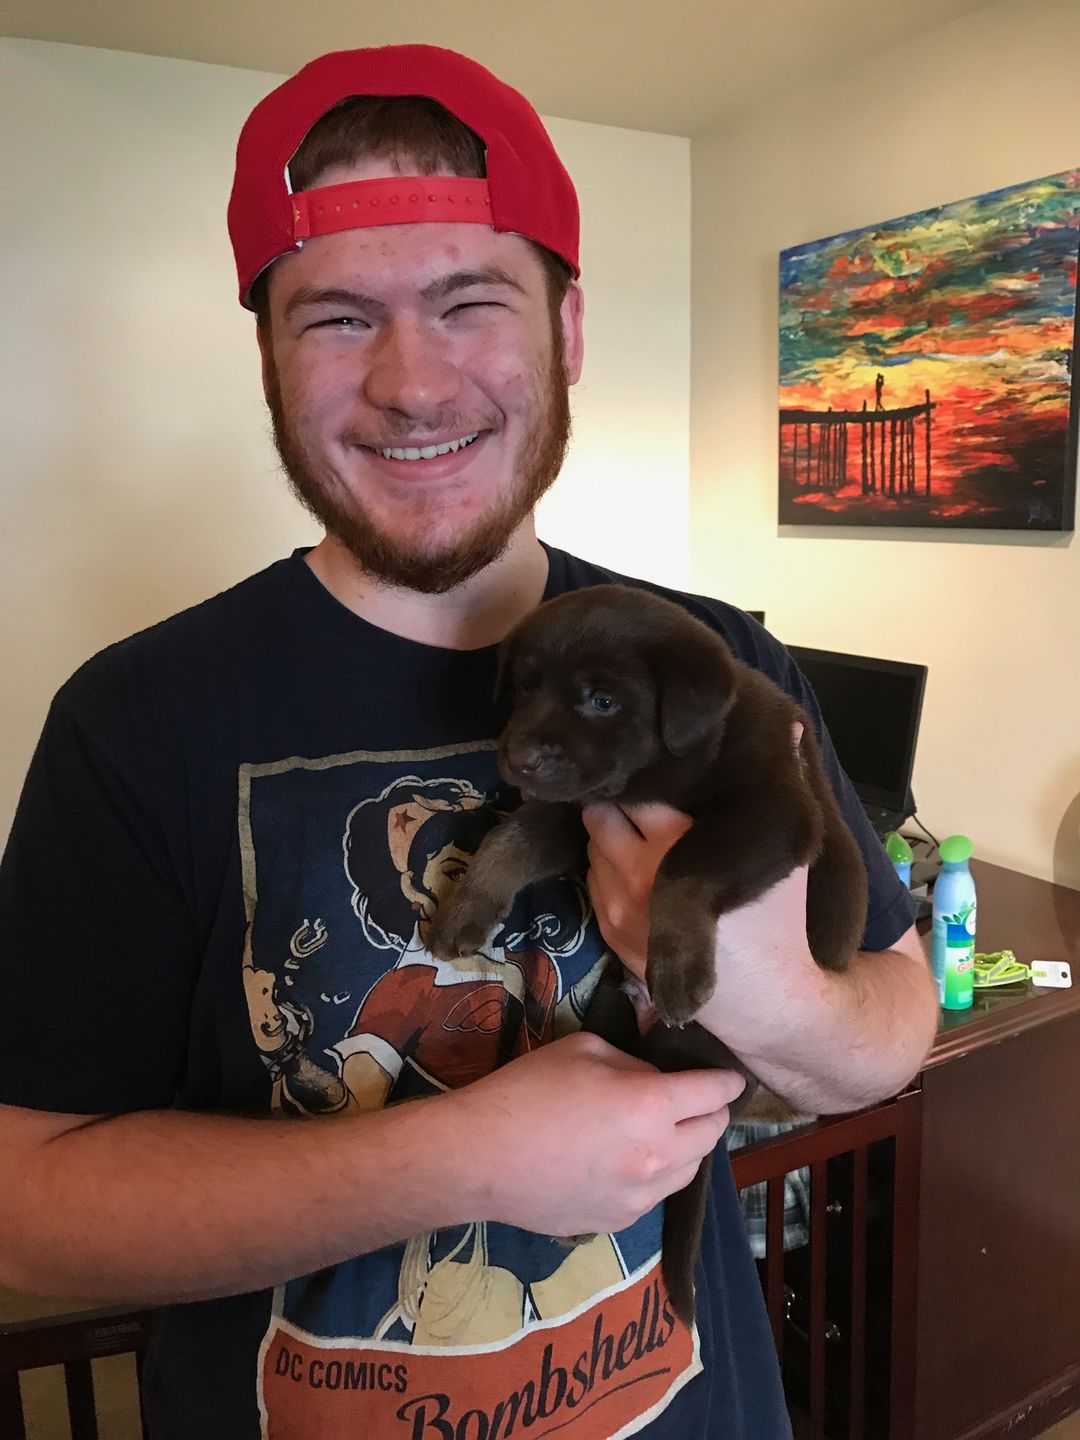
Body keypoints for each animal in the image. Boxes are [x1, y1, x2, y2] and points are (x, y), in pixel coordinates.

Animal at [425, 583, 868, 1325]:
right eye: (524, 684)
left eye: (602, 700)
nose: (518, 759)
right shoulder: (576, 810)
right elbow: (510, 839)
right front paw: (466, 909)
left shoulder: (774, 809)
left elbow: (681, 867)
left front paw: (680, 969)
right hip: (611, 1017)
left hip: (690, 1050)